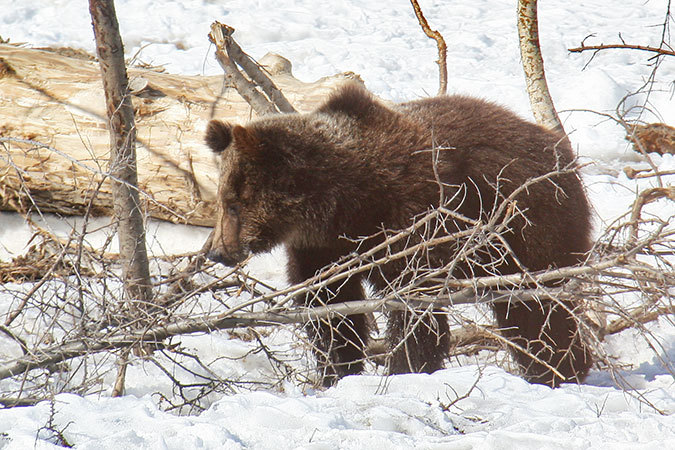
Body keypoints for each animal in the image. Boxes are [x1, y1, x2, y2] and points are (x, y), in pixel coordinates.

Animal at [205, 83, 592, 386]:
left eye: (233, 203)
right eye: (223, 200)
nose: (217, 251)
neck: (345, 204)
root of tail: (562, 150)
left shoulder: (414, 222)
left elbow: (413, 307)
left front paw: (406, 367)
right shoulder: (322, 249)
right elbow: (331, 308)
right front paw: (337, 370)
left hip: (527, 227)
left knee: (538, 308)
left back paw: (560, 368)